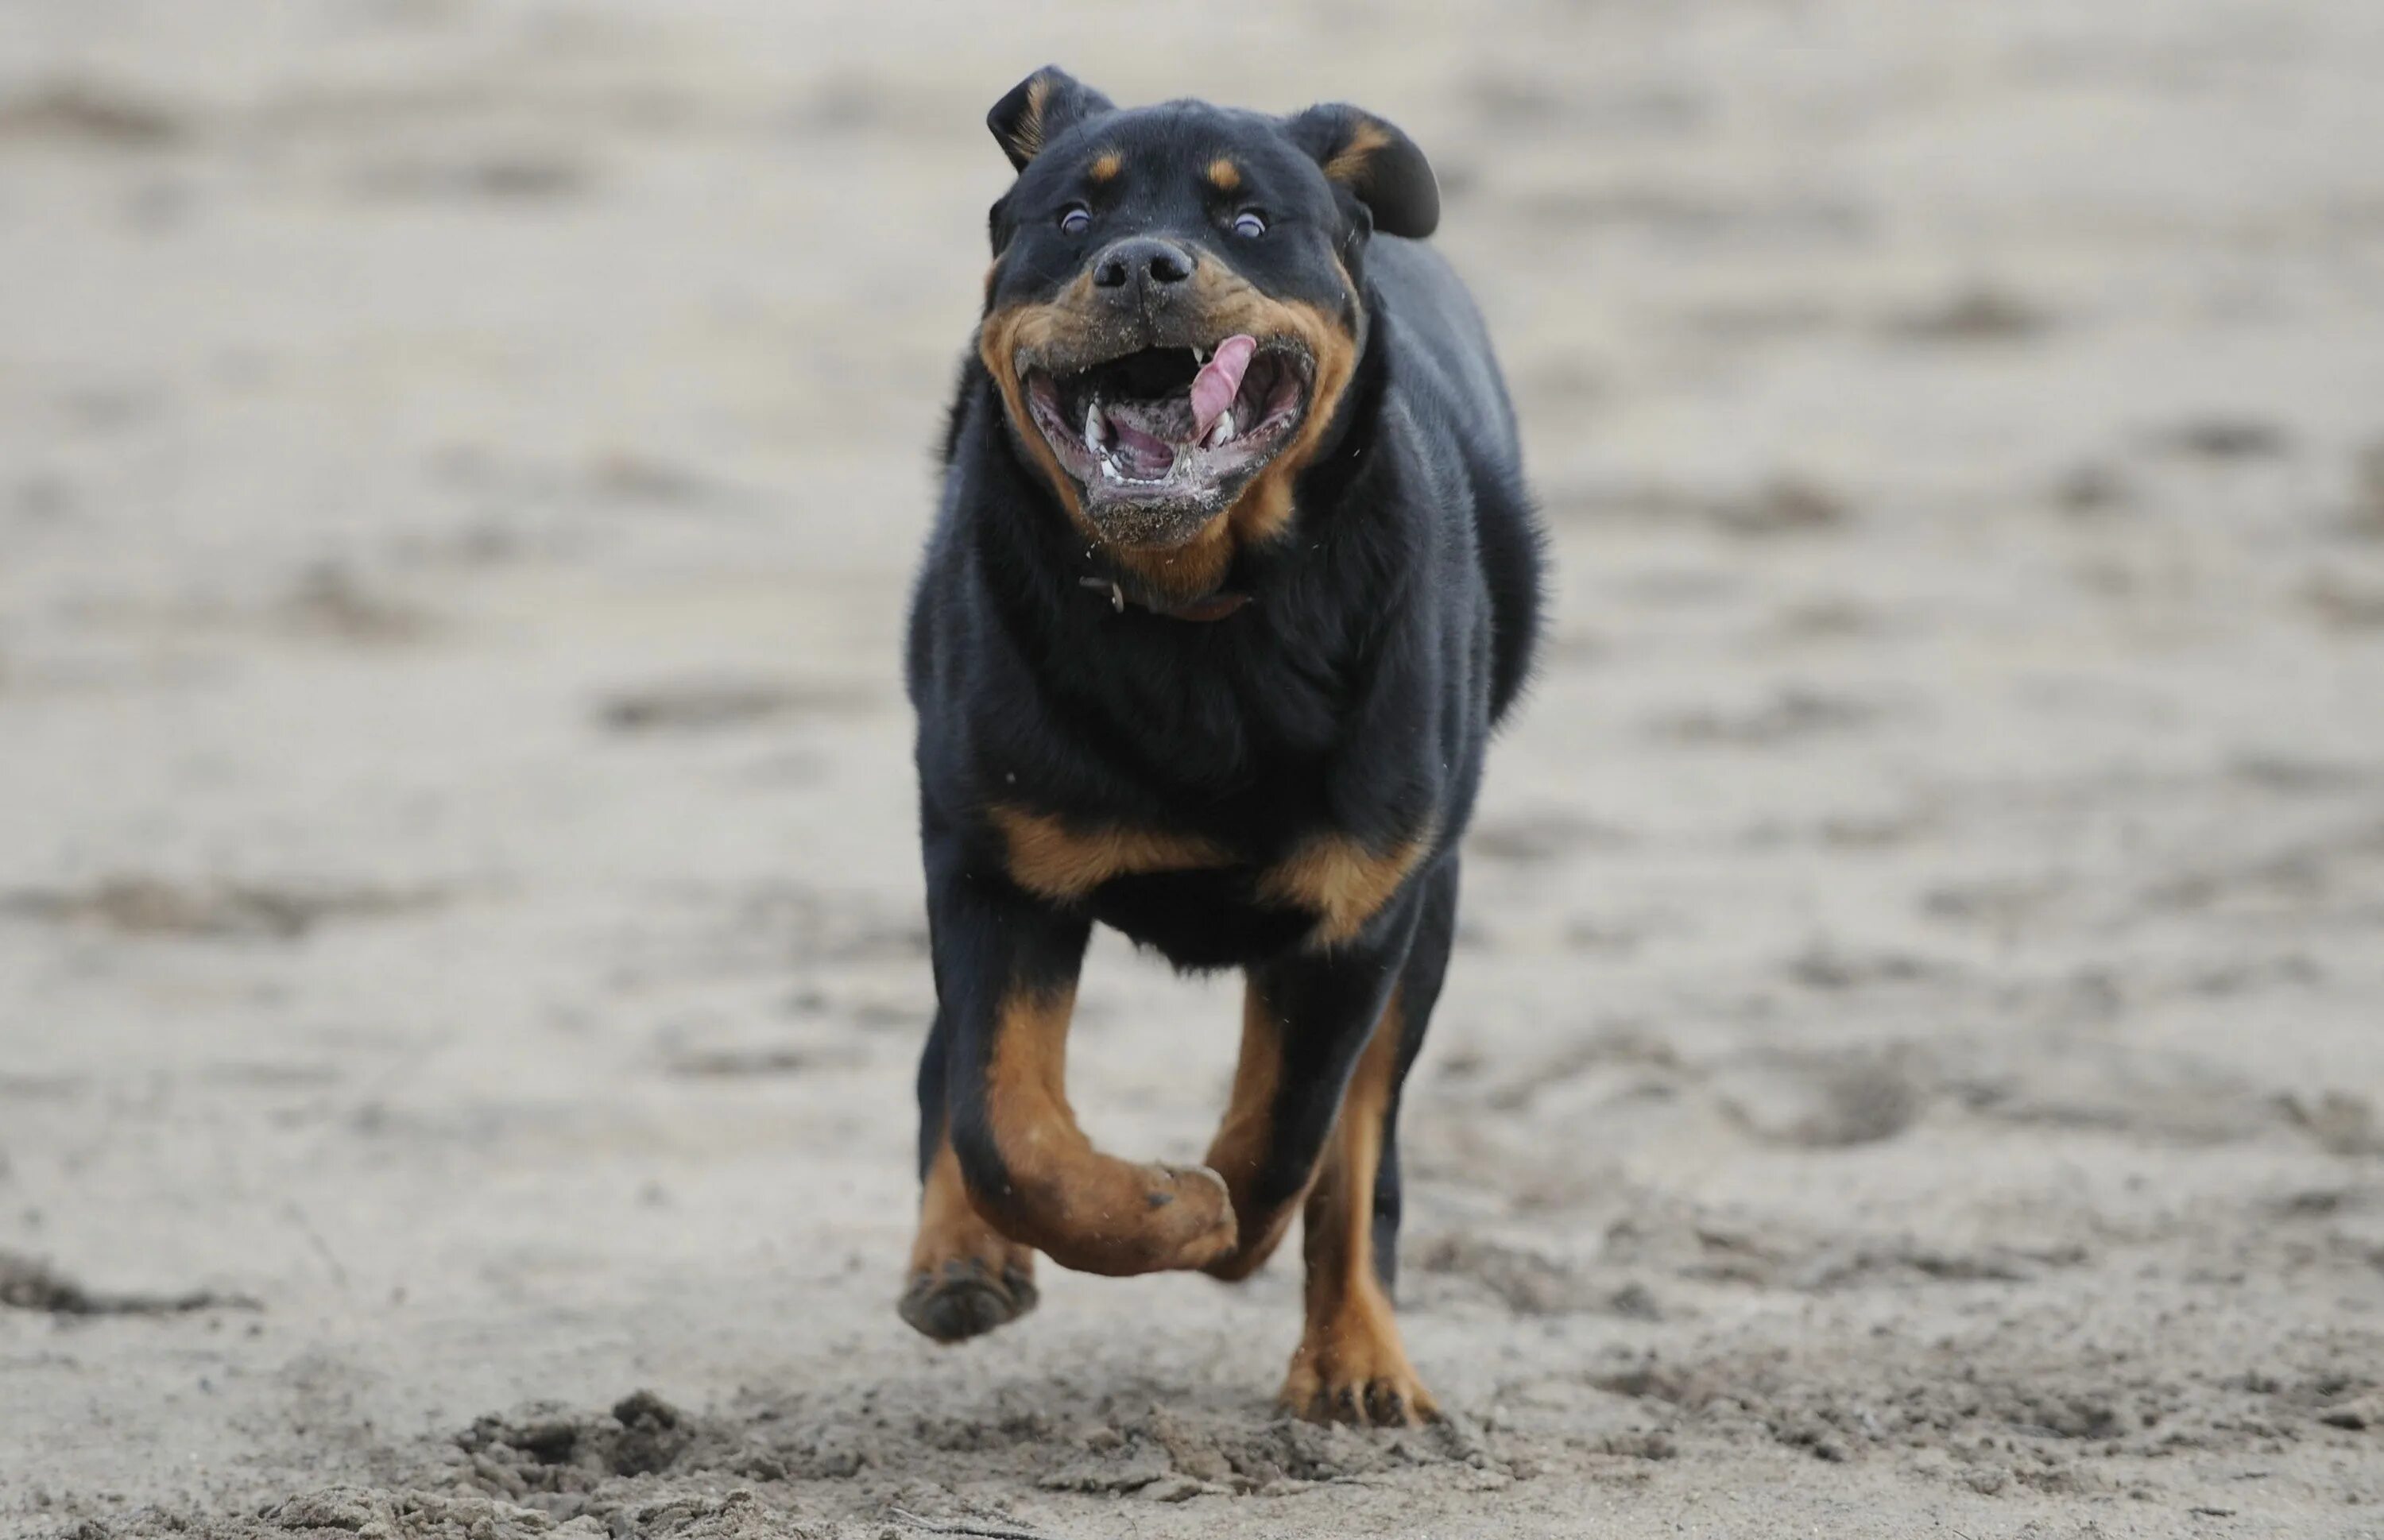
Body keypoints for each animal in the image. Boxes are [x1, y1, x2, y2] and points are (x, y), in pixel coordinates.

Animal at [896, 66, 1545, 1430]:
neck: (1196, 607)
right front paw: (1161, 1205)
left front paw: (1223, 1222)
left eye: (1251, 223)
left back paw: (1357, 1358)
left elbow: (1297, 1134)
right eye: (1071, 219)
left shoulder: (1366, 905)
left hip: (1430, 907)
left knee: (1361, 1146)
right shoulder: (993, 862)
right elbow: (1007, 1125)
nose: (1142, 264)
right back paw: (959, 1256)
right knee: (952, 1073)